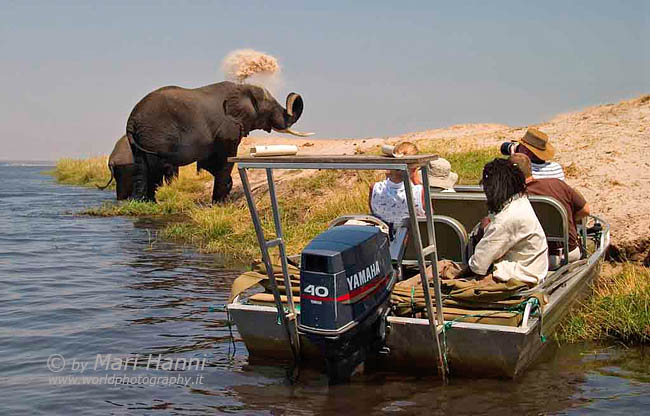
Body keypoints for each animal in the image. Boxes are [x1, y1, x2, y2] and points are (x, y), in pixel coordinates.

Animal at [126, 81, 308, 202]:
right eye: (271, 108)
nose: (294, 94)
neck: (242, 88)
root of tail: (132, 119)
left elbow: (210, 163)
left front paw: (225, 192)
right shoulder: (228, 127)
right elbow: (226, 159)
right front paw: (220, 202)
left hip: (143, 139)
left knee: (141, 166)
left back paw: (142, 204)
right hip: (155, 136)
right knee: (155, 167)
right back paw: (151, 202)